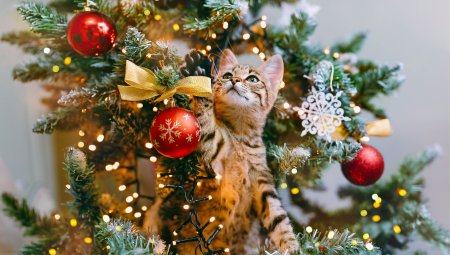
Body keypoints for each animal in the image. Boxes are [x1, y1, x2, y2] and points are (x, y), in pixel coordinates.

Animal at [148, 48, 298, 254]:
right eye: (227, 75)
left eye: (252, 79)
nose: (234, 80)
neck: (240, 136)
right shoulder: (215, 153)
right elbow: (206, 123)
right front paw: (200, 75)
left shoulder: (263, 183)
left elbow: (279, 219)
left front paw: (292, 245)